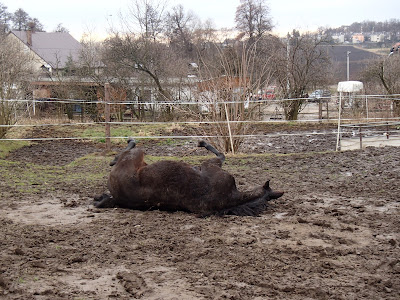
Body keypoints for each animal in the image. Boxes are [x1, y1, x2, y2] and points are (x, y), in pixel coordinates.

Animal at [94, 139, 282, 217]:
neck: (230, 199)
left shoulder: (209, 165)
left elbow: (221, 155)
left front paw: (202, 143)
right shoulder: (209, 165)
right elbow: (222, 155)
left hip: (136, 155)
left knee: (127, 150)